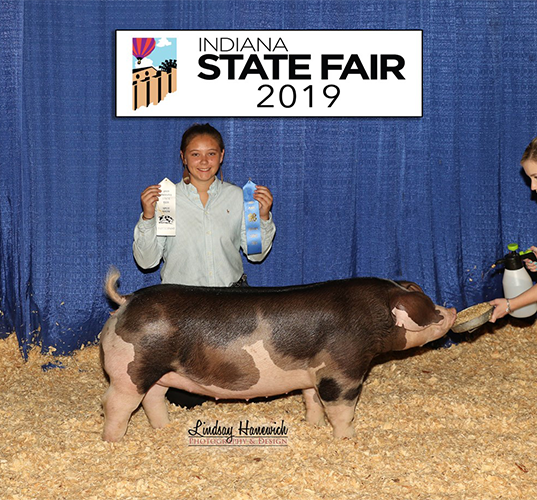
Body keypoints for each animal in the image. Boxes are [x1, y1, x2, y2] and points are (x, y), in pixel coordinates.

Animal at [99, 269, 456, 442]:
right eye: (427, 307)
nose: (450, 311)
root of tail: (127, 300)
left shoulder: (313, 371)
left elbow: (312, 399)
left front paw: (312, 425)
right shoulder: (342, 367)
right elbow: (341, 406)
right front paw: (347, 438)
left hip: (158, 371)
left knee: (152, 398)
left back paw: (163, 428)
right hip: (131, 370)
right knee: (116, 404)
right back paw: (114, 441)